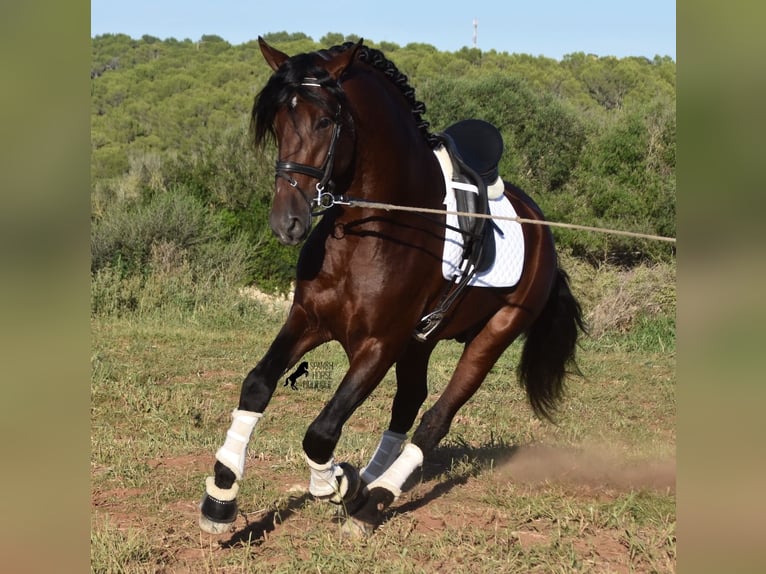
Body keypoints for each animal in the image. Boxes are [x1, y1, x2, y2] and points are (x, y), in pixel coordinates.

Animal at [201, 38, 584, 536]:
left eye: (325, 121)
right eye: (279, 122)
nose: (287, 222)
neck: (374, 227)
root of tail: (541, 228)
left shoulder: (379, 344)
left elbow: (322, 432)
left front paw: (336, 485)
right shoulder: (308, 320)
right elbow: (257, 384)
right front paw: (221, 495)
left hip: (493, 335)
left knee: (435, 418)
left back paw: (373, 498)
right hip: (420, 341)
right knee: (408, 403)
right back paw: (369, 483)